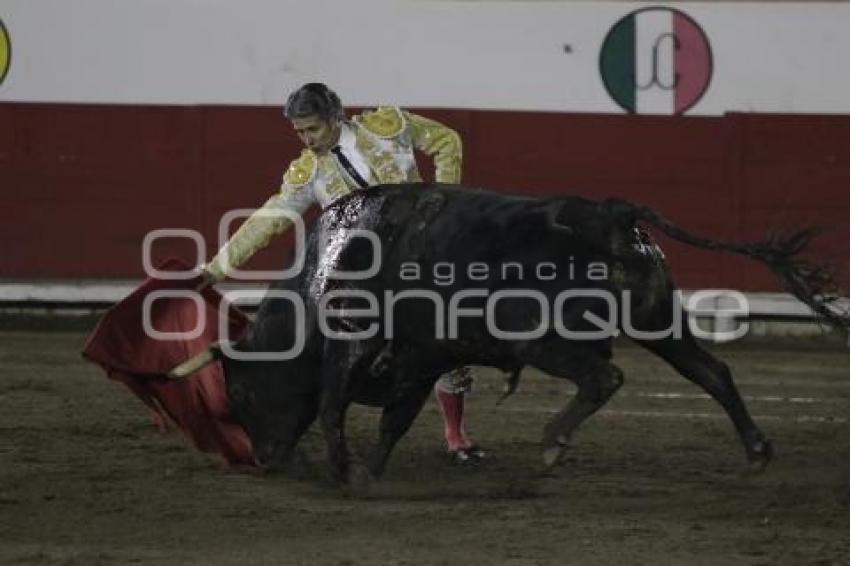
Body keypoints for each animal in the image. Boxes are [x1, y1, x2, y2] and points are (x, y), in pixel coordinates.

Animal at [204, 184, 840, 486]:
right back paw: (756, 451)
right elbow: (395, 419)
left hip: (540, 337)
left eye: (239, 392)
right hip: (657, 321)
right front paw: (373, 470)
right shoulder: (421, 356)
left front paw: (346, 472)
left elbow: (333, 407)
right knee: (712, 372)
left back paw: (554, 440)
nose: (265, 461)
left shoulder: (353, 347)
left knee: (604, 375)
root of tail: (611, 215)